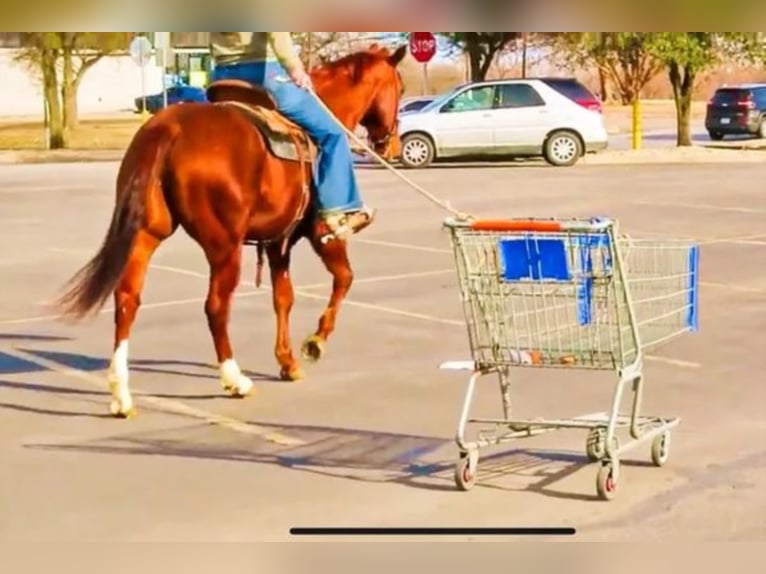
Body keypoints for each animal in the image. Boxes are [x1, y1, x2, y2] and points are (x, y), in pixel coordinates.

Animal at [54, 45, 408, 418]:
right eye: (400, 87)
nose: (393, 146)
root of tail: (170, 128)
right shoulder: (320, 234)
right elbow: (344, 278)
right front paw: (315, 342)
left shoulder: (277, 242)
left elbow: (283, 298)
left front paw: (287, 361)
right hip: (225, 246)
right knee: (215, 307)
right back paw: (234, 379)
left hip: (145, 234)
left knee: (127, 299)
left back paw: (121, 394)